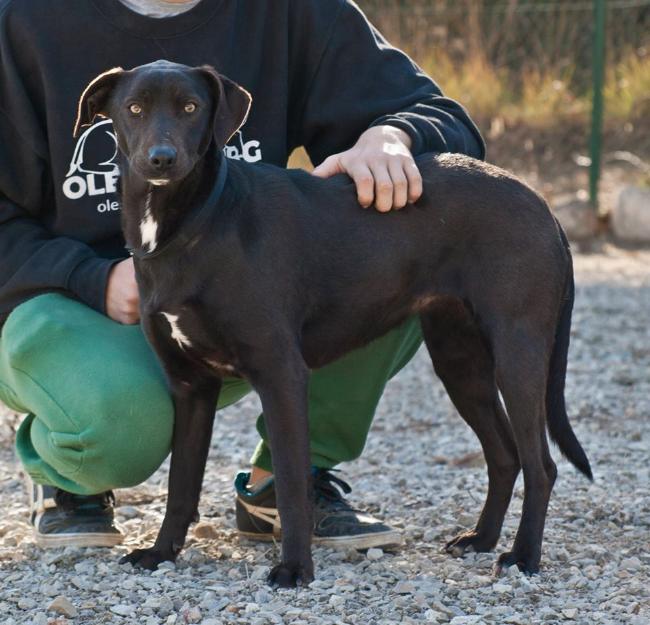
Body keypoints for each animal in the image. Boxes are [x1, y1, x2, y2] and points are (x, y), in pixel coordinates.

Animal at [73, 61, 588, 588]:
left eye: (191, 107)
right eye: (134, 108)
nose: (161, 159)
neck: (197, 220)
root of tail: (543, 205)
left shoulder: (280, 375)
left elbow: (292, 483)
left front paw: (295, 568)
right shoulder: (190, 388)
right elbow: (180, 485)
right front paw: (161, 553)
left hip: (518, 352)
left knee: (541, 464)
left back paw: (523, 556)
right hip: (459, 361)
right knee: (504, 456)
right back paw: (481, 540)